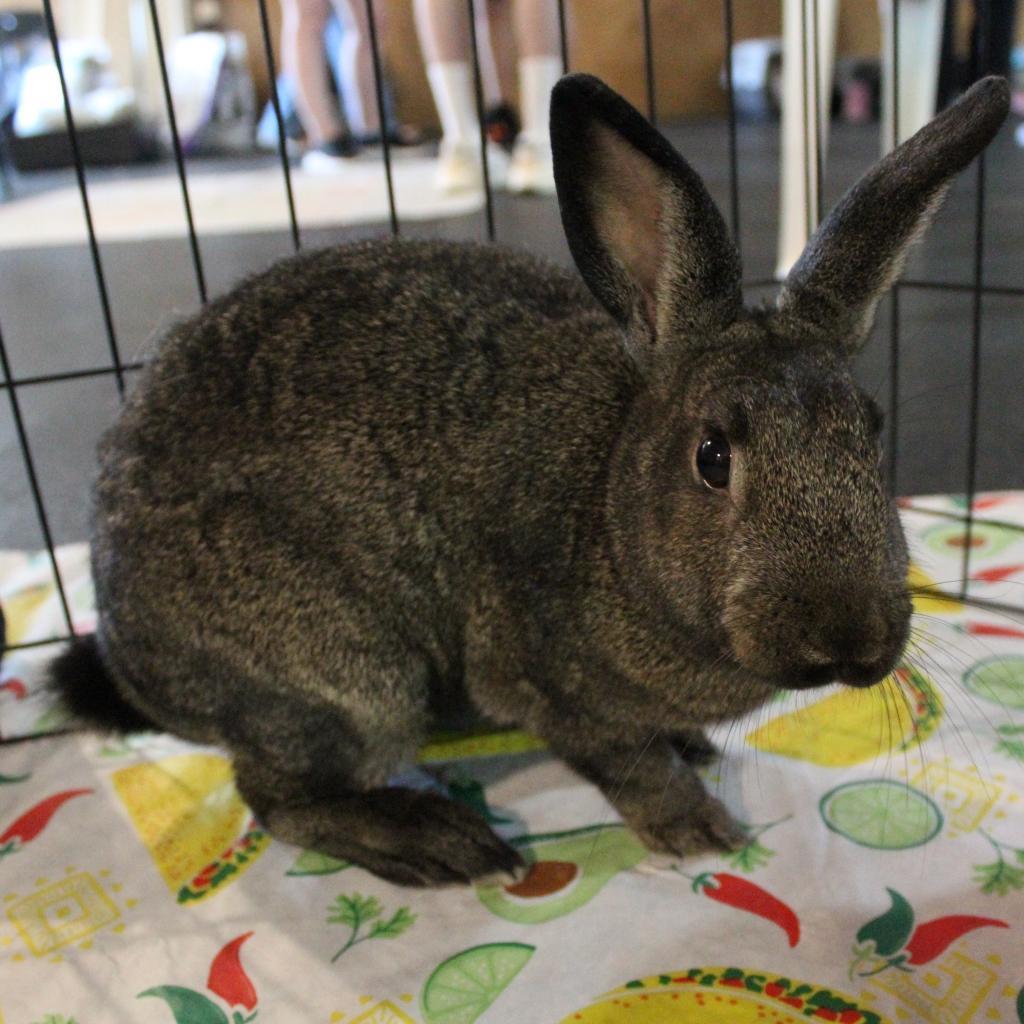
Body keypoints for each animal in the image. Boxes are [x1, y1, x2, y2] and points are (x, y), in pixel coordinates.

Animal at [50, 73, 1009, 886]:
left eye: (871, 433)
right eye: (713, 457)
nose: (851, 638)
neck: (610, 510)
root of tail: (131, 659)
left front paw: (697, 750)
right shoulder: (546, 685)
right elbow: (626, 763)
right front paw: (697, 826)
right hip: (348, 678)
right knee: (278, 798)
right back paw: (435, 844)